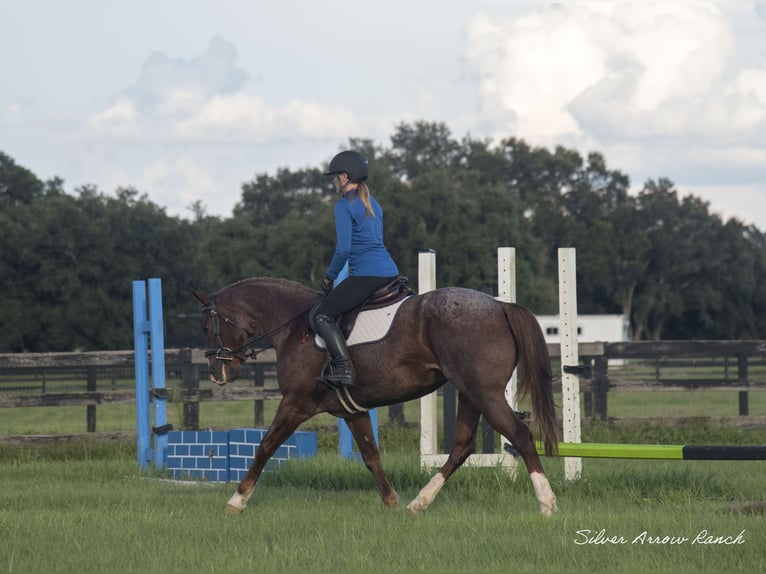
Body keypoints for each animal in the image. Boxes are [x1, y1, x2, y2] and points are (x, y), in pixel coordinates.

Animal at [191, 280, 560, 516]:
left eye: (207, 328)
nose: (216, 372)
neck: (296, 329)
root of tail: (499, 306)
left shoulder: (296, 404)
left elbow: (265, 446)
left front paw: (237, 500)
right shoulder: (351, 411)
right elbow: (371, 455)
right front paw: (391, 502)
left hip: (484, 394)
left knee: (520, 435)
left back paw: (546, 503)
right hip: (470, 394)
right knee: (462, 447)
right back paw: (418, 503)